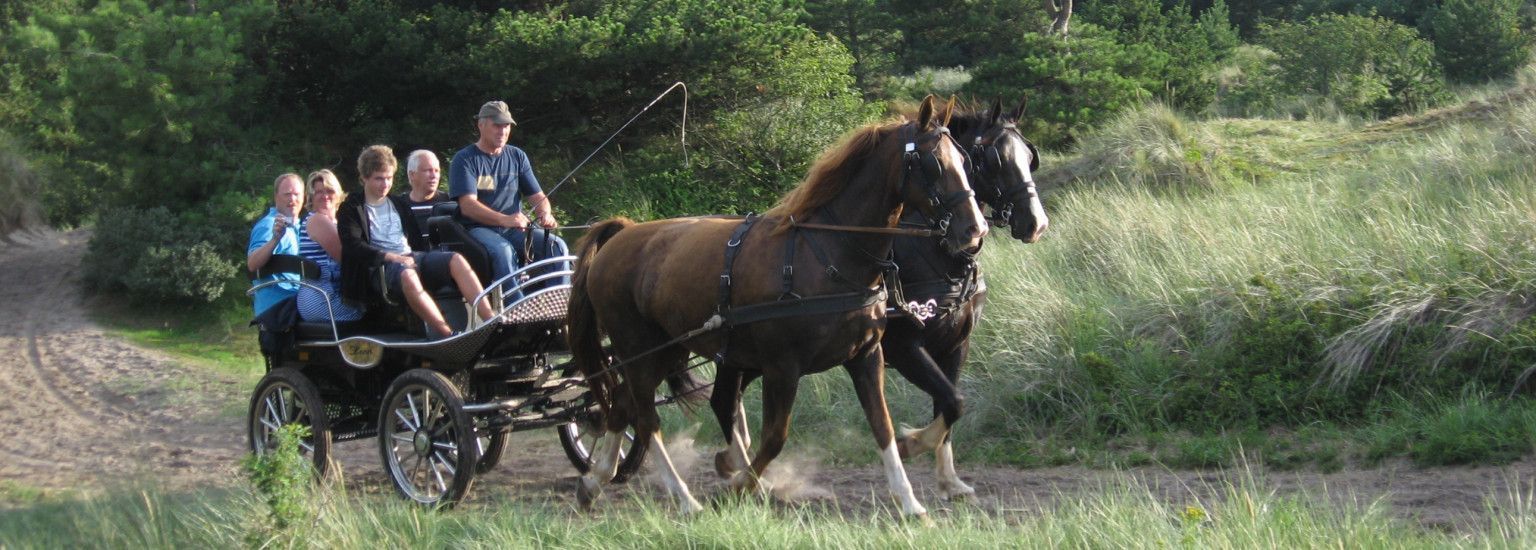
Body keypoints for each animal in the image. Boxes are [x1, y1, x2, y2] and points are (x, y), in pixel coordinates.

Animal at [568, 95, 983, 519]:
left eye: (966, 161)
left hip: (669, 350)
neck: (825, 254)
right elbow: (774, 438)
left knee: (623, 405)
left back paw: (594, 481)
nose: (975, 229)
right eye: (934, 163)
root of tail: (622, 235)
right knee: (646, 417)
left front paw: (909, 498)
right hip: (640, 349)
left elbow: (883, 424)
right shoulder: (783, 366)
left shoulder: (867, 356)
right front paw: (738, 485)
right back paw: (684, 497)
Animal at [709, 97, 1050, 497]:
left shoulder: (956, 345)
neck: (933, 253)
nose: (1037, 223)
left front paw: (948, 479)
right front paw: (909, 444)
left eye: (1028, 156)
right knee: (724, 398)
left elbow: (947, 405)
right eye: (994, 158)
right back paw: (737, 462)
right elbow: (953, 402)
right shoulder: (904, 348)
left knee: (727, 397)